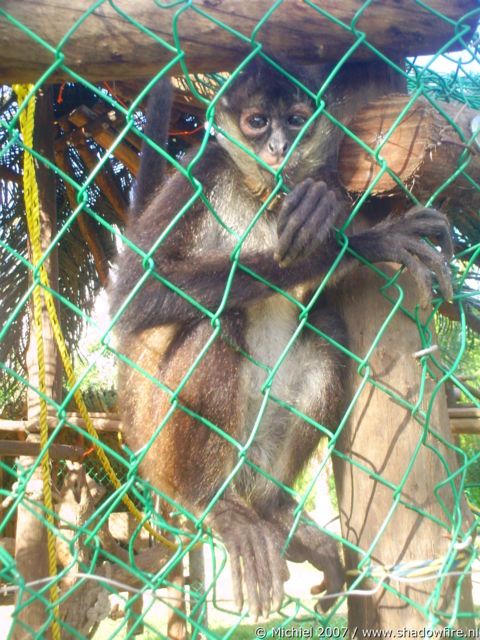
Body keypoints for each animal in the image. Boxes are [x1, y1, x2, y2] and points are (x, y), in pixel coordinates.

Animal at [109, 60, 454, 620]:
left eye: (294, 119)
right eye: (256, 121)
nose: (277, 146)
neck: (261, 196)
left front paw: (326, 206)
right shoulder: (202, 171)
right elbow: (135, 295)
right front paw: (356, 242)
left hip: (258, 452)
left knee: (327, 329)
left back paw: (274, 512)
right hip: (159, 448)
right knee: (219, 321)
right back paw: (211, 505)